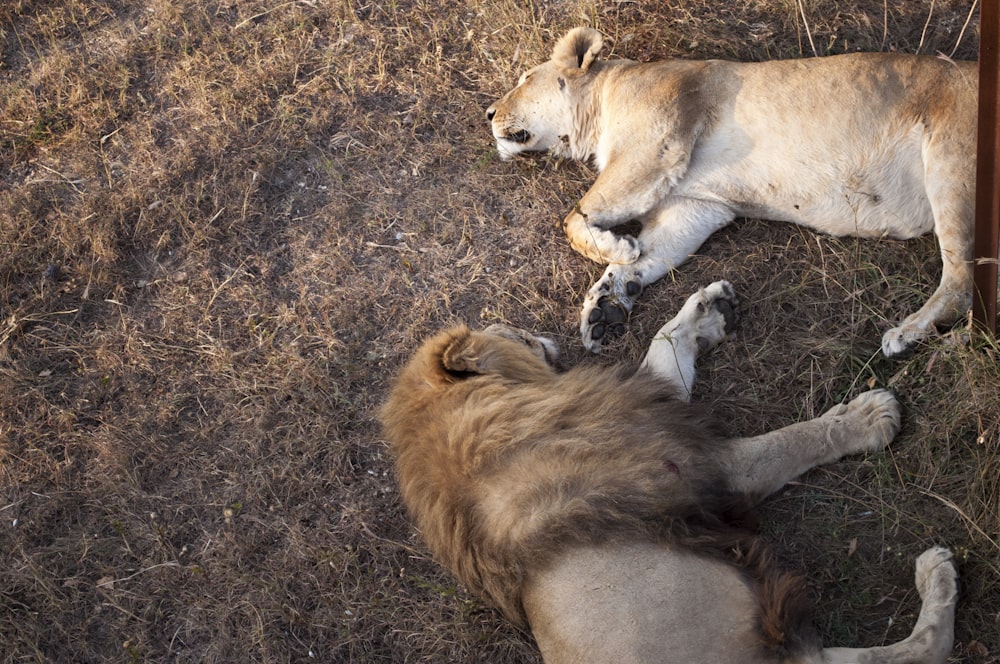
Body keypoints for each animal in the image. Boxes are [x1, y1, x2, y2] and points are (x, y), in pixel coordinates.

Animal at [378, 282, 956, 664]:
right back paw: (938, 579)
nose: (536, 333)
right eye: (510, 333)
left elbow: (665, 346)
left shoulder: (660, 409)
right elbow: (790, 441)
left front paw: (706, 310)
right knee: (920, 651)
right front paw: (867, 418)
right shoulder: (696, 462)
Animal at [484, 27, 976, 358]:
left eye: (524, 78)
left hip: (952, 167)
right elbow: (647, 257)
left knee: (961, 282)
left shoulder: (655, 146)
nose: (488, 112)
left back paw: (905, 335)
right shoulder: (693, 205)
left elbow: (575, 218)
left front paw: (617, 247)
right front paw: (604, 307)